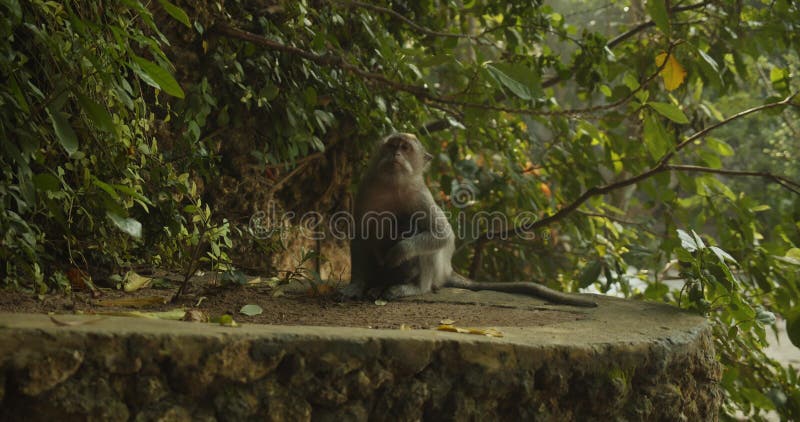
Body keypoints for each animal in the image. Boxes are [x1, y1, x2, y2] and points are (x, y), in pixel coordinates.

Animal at [340, 134, 596, 308]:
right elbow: (360, 236)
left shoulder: (419, 195)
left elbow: (441, 235)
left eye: (405, 147)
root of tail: (447, 271)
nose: (396, 154)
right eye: (392, 145)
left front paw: (399, 251)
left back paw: (413, 287)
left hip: (435, 271)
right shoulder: (365, 190)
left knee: (417, 231)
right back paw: (376, 286)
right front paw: (355, 286)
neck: (392, 184)